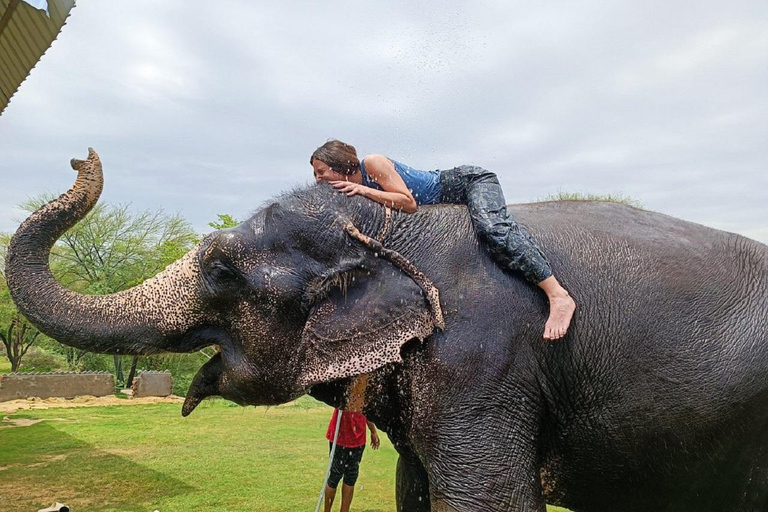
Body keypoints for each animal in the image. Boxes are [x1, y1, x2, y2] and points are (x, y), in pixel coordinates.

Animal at [7, 149, 768, 512]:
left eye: (222, 269)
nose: (80, 157)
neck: (396, 229)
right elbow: (413, 487)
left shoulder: (482, 362)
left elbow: (488, 501)